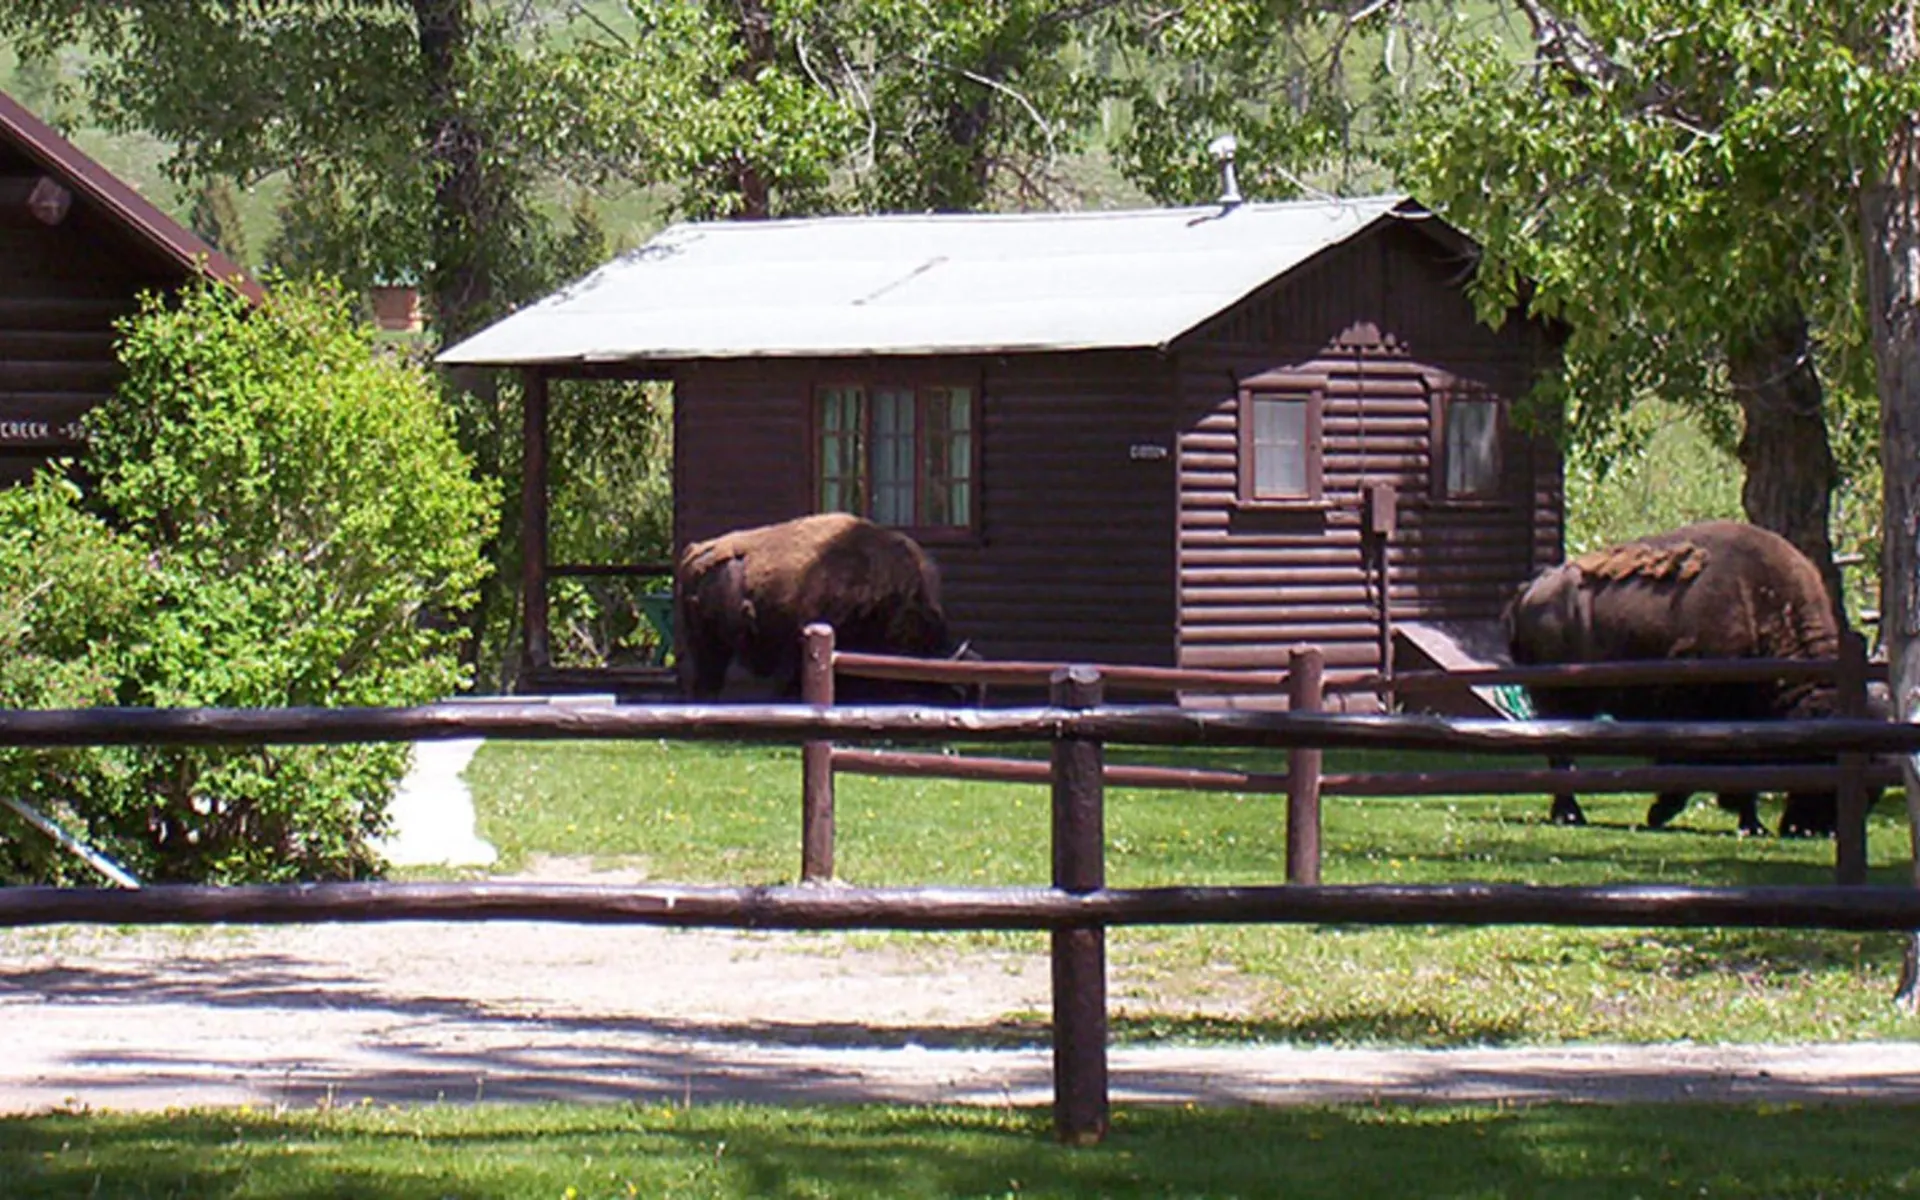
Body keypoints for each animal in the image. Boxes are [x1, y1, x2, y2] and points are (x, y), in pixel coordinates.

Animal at [1505, 518, 1866, 837]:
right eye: (1822, 758)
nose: (1820, 829)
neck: (1762, 607)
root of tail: (1530, 590)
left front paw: (1751, 824)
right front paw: (1663, 813)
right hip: (1558, 699)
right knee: (1561, 754)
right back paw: (1570, 815)